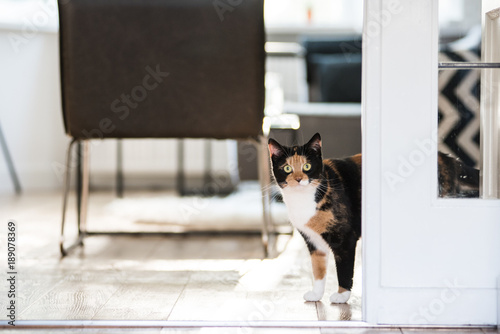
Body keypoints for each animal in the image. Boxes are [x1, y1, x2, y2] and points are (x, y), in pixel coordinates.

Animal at [268, 133, 362, 302]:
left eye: (307, 166)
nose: (299, 179)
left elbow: (344, 269)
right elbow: (318, 268)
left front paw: (342, 295)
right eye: (287, 168)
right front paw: (316, 294)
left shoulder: (345, 239)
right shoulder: (313, 241)